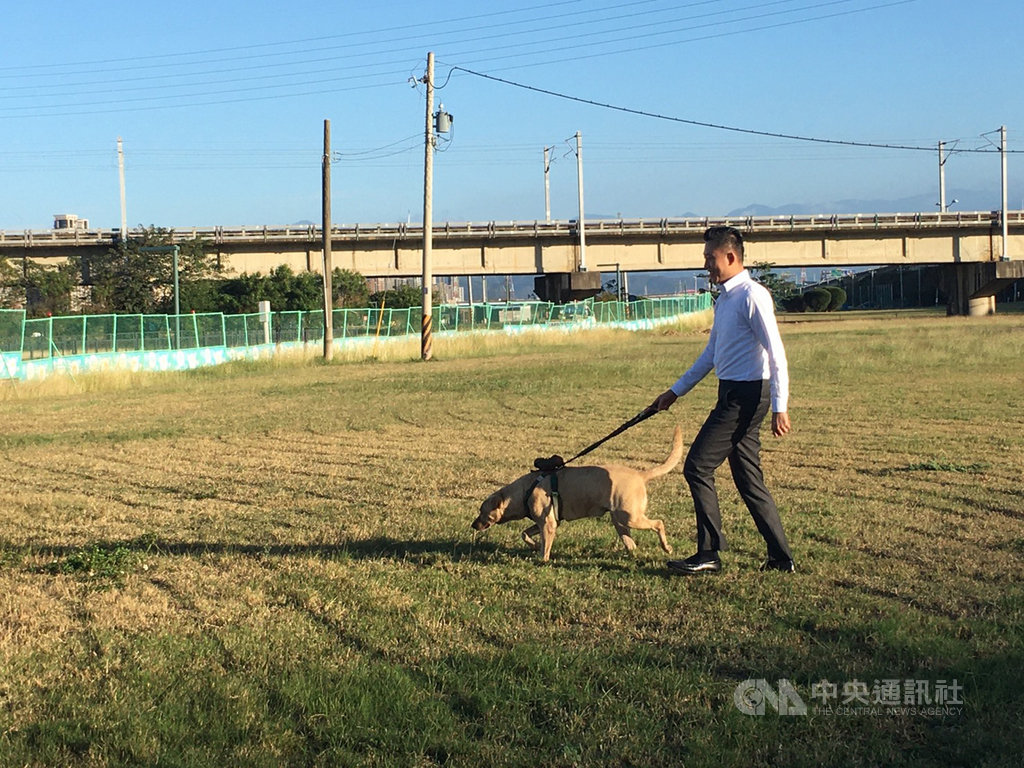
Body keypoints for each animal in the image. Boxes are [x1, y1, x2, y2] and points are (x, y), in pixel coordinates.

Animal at [468, 428, 679, 561]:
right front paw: (534, 545)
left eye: (482, 511)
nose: (473, 525)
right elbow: (524, 533)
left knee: (659, 523)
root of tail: (640, 474)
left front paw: (542, 559)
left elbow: (545, 547)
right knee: (631, 543)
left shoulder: (548, 523)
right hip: (620, 520)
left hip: (630, 516)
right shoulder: (546, 521)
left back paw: (666, 547)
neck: (524, 492)